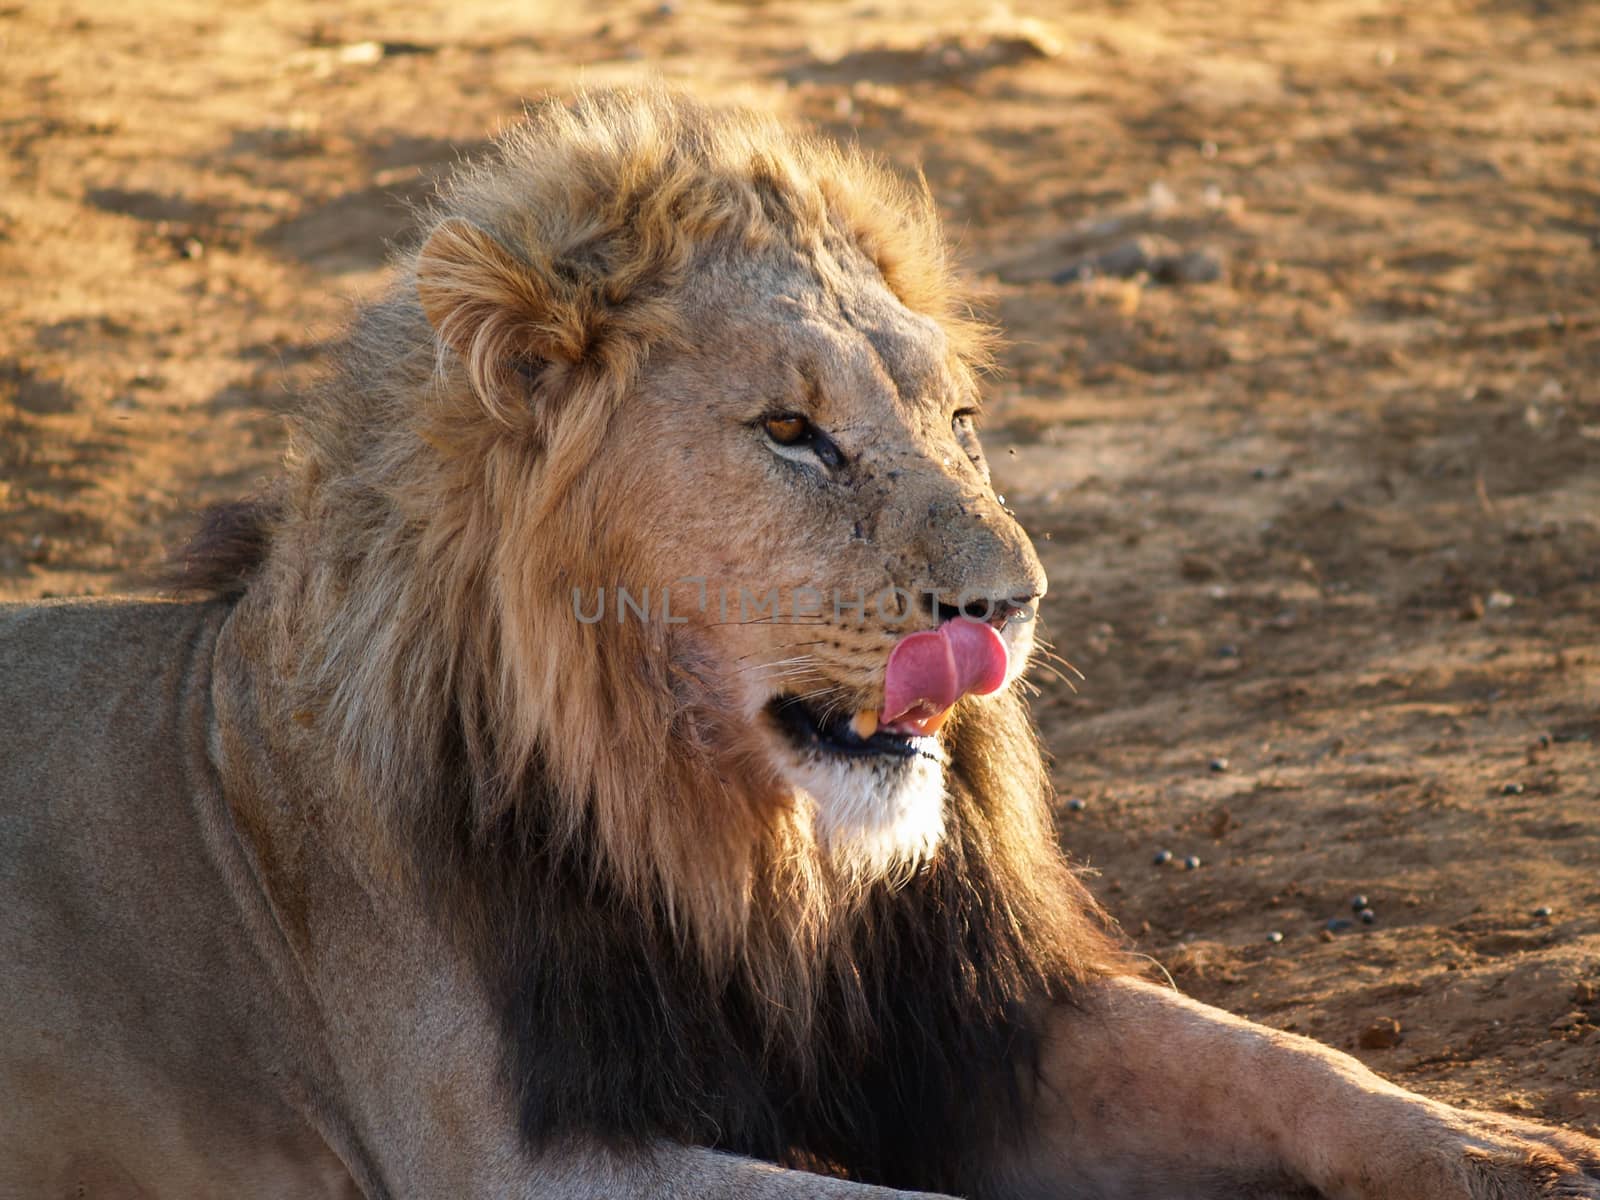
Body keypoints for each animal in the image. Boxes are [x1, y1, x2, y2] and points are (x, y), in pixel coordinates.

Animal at [3, 86, 1600, 1200]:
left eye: (960, 420)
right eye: (790, 432)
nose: (1012, 605)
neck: (737, 864)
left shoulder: (959, 1027)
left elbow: (1272, 1059)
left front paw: (1509, 1148)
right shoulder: (510, 1150)